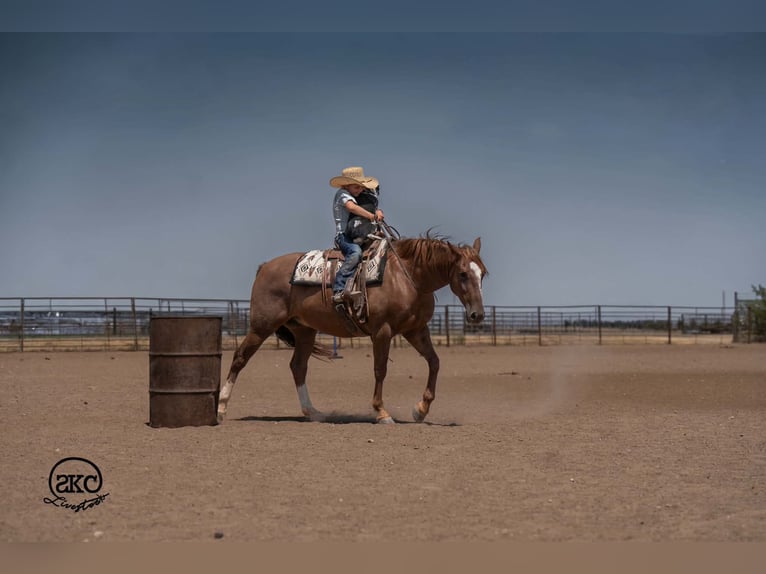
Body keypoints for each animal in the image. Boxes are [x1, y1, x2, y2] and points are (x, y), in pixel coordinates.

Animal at [217, 233, 488, 424]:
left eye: (483, 273)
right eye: (463, 274)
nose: (477, 315)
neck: (407, 277)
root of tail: (264, 267)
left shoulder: (416, 330)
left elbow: (434, 362)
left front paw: (420, 410)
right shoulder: (382, 331)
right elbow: (380, 370)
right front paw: (381, 412)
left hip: (304, 330)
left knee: (298, 366)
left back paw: (313, 412)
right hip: (261, 326)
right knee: (240, 358)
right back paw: (221, 407)